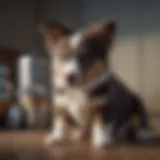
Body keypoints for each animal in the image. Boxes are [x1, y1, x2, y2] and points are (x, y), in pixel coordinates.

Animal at [39, 19, 151, 148]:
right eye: (63, 57)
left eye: (86, 57)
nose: (70, 77)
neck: (80, 88)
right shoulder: (61, 105)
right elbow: (60, 122)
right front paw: (56, 137)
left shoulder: (104, 105)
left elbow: (101, 122)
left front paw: (102, 141)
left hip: (136, 101)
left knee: (140, 118)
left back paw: (142, 133)